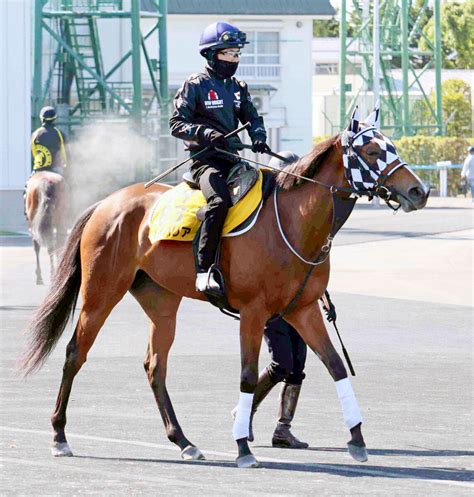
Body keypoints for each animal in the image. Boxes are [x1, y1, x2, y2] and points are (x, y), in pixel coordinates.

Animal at [21, 106, 430, 466]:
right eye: (372, 150)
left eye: (391, 145)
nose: (419, 191)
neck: (291, 222)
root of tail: (106, 203)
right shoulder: (254, 312)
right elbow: (249, 376)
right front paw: (243, 447)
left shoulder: (302, 309)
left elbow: (335, 366)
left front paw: (357, 439)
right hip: (101, 293)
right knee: (75, 352)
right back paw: (59, 434)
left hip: (161, 302)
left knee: (155, 366)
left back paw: (183, 441)